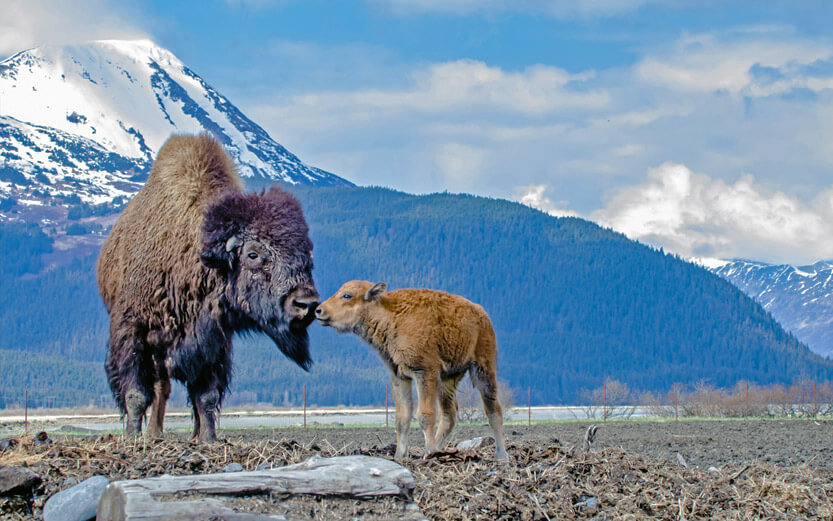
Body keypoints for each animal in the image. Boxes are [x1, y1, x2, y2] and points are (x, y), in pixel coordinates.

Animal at [97, 133, 319, 442]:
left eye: (307, 256)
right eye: (253, 254)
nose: (306, 304)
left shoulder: (214, 344)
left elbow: (207, 396)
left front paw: (209, 439)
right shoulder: (132, 332)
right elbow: (136, 394)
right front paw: (131, 438)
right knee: (159, 387)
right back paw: (152, 435)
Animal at [315, 280, 509, 462]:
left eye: (347, 295)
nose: (318, 310)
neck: (391, 315)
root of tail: (483, 315)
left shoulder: (424, 372)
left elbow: (425, 415)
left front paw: (428, 453)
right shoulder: (399, 376)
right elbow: (402, 418)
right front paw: (400, 456)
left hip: (483, 369)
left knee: (493, 410)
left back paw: (501, 456)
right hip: (448, 379)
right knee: (449, 414)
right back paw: (440, 450)